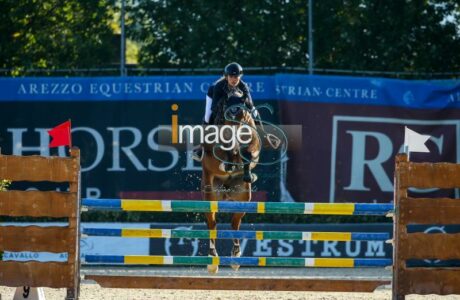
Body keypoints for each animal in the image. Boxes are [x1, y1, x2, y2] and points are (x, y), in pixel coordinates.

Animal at [200, 95, 260, 274]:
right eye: (228, 117)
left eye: (243, 115)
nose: (236, 136)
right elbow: (224, 153)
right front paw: (228, 163)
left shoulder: (253, 145)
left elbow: (249, 153)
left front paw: (246, 169)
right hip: (210, 195)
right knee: (212, 223)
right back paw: (212, 259)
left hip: (243, 198)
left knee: (235, 223)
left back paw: (235, 256)